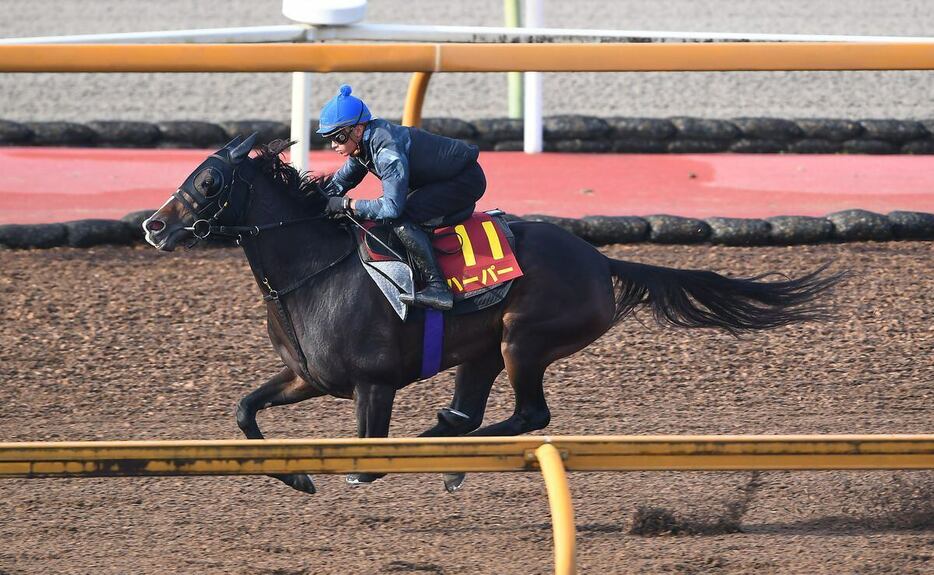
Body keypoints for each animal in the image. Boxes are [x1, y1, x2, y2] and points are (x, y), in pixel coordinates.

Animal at [143, 136, 844, 496]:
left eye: (208, 183)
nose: (153, 226)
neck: (314, 272)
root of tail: (599, 258)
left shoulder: (373, 384)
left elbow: (367, 462)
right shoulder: (309, 377)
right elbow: (245, 409)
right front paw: (296, 480)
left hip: (522, 341)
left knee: (528, 415)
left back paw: (446, 454)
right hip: (480, 352)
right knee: (468, 414)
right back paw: (450, 452)